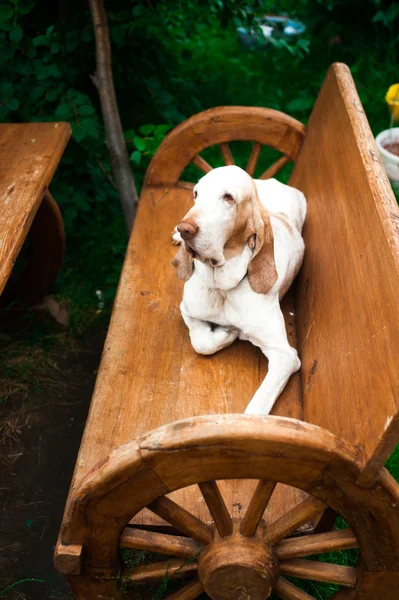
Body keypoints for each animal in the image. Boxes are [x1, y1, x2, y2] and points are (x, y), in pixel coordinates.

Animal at [172, 166, 306, 414]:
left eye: (228, 198)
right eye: (196, 193)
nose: (184, 229)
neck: (223, 290)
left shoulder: (286, 356)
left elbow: (257, 408)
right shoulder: (186, 309)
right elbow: (201, 343)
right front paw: (226, 333)